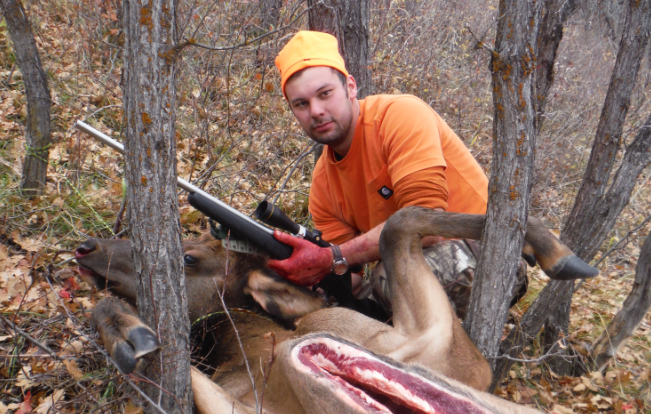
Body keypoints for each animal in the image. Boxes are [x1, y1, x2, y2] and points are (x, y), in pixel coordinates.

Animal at [75, 207, 598, 413]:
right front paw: (129, 334)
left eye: (188, 257)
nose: (87, 246)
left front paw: (553, 249)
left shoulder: (440, 350)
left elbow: (401, 219)